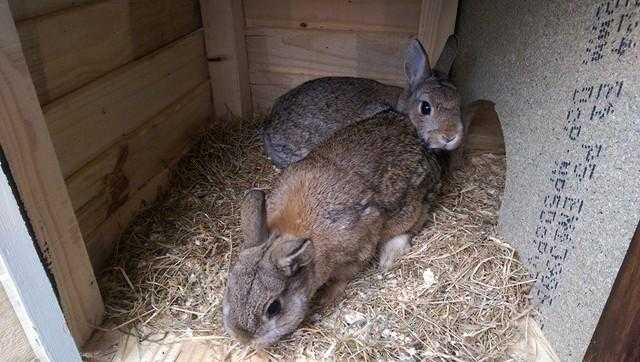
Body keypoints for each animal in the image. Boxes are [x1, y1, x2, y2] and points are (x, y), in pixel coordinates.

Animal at [222, 111, 442, 348]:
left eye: (274, 308)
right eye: (229, 288)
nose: (243, 338)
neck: (283, 234)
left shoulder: (357, 250)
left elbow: (343, 277)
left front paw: (326, 299)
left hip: (410, 208)